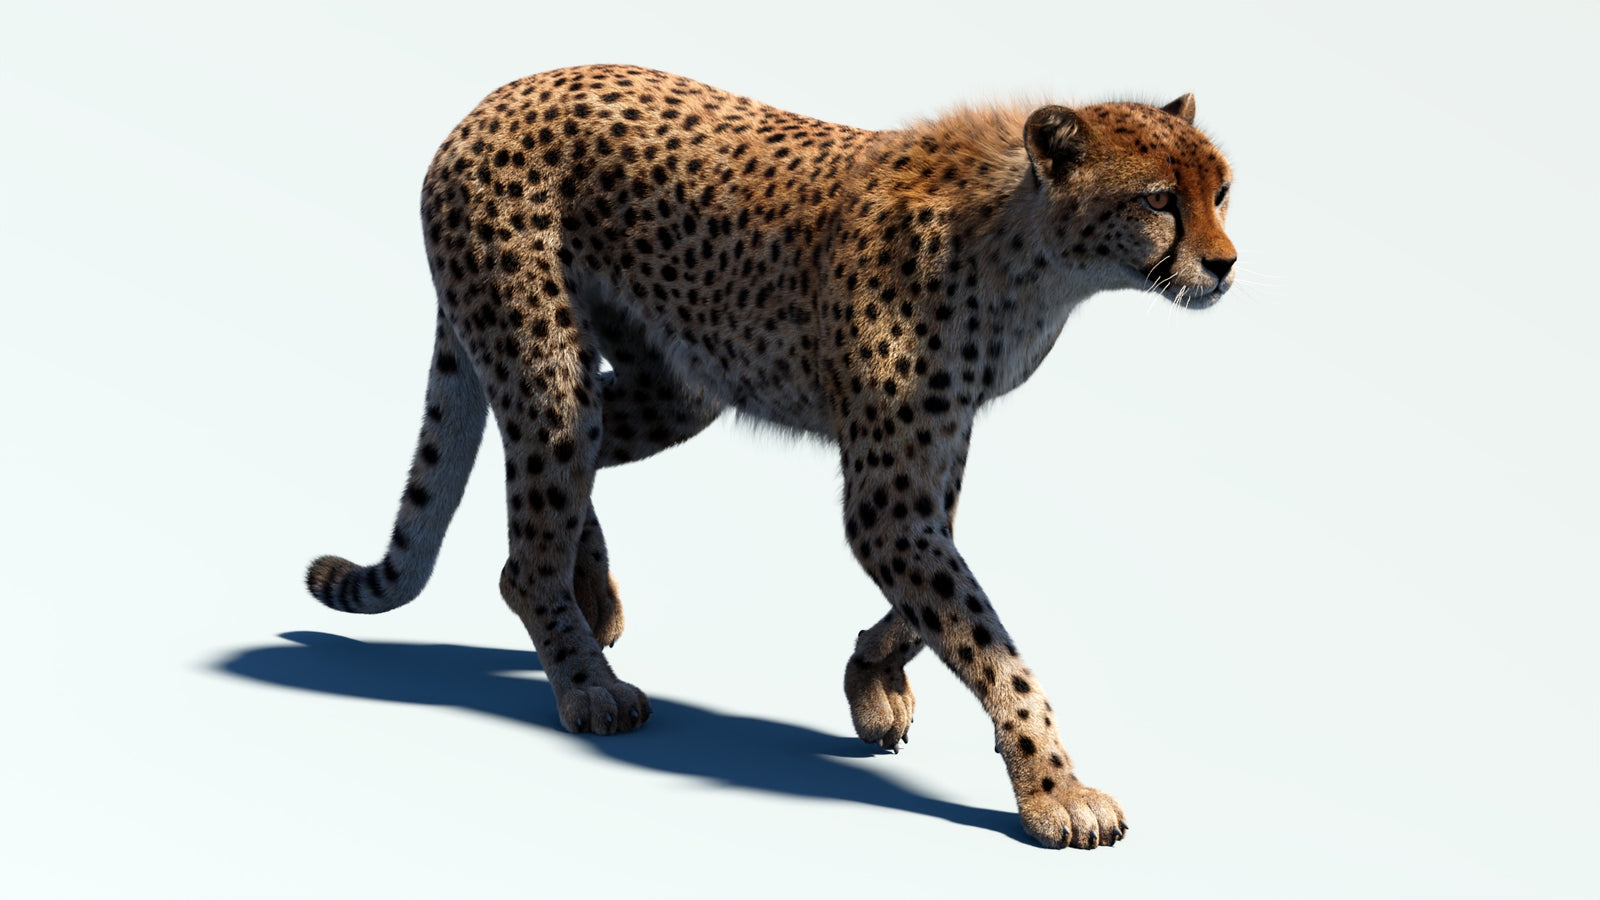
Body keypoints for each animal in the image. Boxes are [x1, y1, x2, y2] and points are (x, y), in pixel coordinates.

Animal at [305, 64, 1237, 850]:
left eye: (1223, 191)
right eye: (1160, 199)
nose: (1225, 265)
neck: (1034, 253)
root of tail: (493, 98)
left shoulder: (932, 461)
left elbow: (936, 612)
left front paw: (871, 680)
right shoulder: (890, 499)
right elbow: (989, 643)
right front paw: (1055, 792)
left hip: (679, 382)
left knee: (580, 457)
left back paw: (593, 593)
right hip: (545, 359)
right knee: (528, 541)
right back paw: (587, 681)